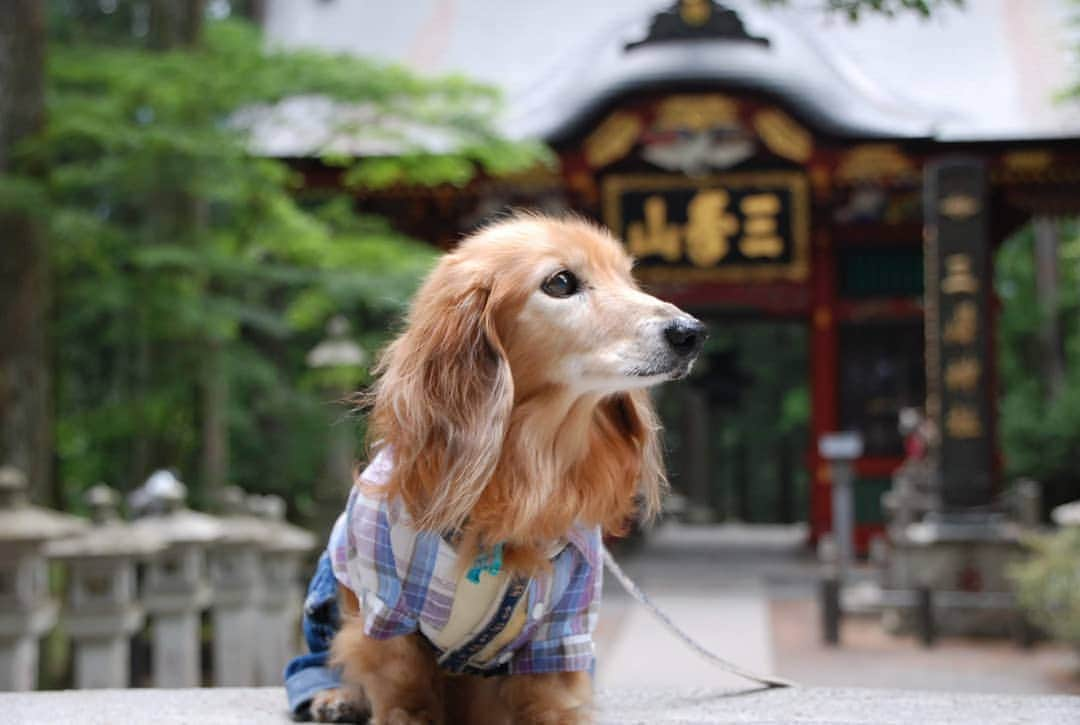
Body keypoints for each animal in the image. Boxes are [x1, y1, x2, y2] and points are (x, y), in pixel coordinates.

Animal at [311, 212, 708, 721]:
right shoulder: (384, 604)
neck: (524, 465)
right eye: (561, 282)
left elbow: (549, 693)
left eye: (627, 278)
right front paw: (401, 712)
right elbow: (401, 685)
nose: (691, 332)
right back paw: (334, 697)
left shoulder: (563, 623)